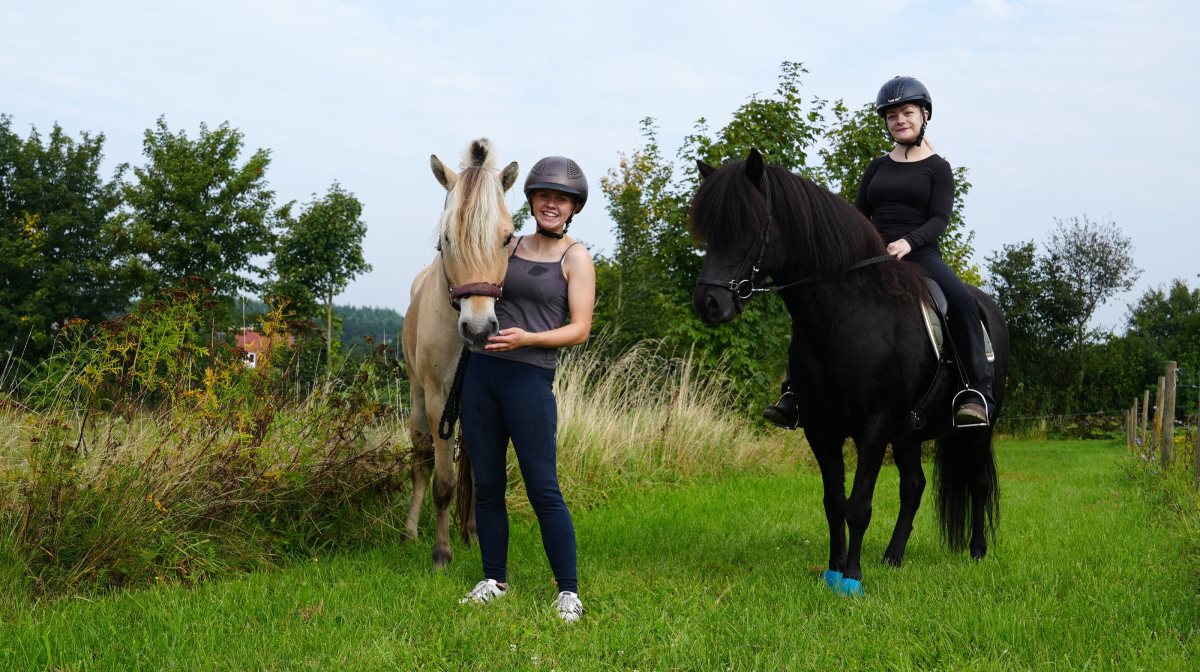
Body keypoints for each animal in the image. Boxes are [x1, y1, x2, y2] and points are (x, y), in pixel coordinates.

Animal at [405, 139, 518, 568]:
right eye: (447, 238)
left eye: (507, 238)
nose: (480, 329)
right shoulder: (440, 401)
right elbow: (443, 481)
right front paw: (441, 552)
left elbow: (479, 471)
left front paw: (473, 534)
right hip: (418, 399)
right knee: (420, 462)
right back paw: (409, 532)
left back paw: (469, 530)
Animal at [691, 149, 1008, 595]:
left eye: (746, 226)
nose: (709, 302)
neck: (846, 315)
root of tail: (988, 308)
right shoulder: (820, 427)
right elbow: (833, 502)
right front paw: (833, 569)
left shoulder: (873, 426)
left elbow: (858, 504)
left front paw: (853, 578)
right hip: (908, 433)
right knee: (914, 487)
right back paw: (893, 556)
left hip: (978, 427)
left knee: (978, 482)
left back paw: (977, 552)